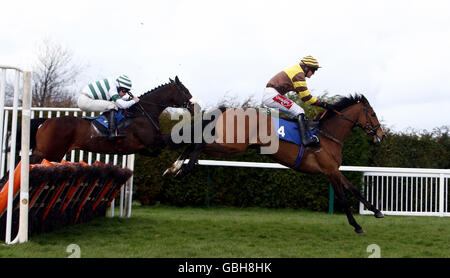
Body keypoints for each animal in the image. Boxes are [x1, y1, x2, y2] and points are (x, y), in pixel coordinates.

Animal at [31, 76, 193, 164]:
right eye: (185, 91)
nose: (193, 105)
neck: (142, 112)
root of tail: (46, 122)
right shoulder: (152, 140)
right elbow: (168, 141)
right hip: (52, 153)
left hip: (43, 151)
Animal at [165, 94, 386, 233]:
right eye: (373, 114)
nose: (381, 136)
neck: (327, 135)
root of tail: (227, 109)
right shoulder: (329, 171)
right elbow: (343, 197)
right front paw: (357, 225)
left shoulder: (334, 170)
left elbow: (354, 189)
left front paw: (376, 211)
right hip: (232, 145)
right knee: (199, 142)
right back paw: (184, 168)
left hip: (229, 145)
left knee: (194, 142)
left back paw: (174, 167)